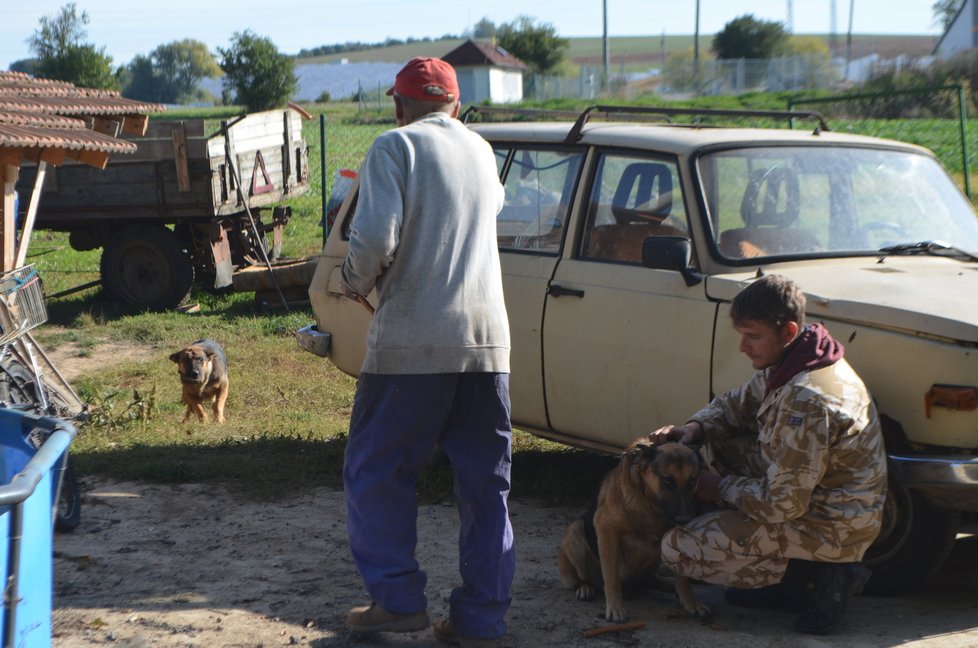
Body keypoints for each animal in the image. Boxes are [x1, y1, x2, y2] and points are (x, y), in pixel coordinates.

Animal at [556, 440, 708, 624]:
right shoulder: (607, 532)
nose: (684, 520)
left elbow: (682, 578)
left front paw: (690, 602)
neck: (650, 504)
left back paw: (667, 584)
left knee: (651, 579)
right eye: (668, 481)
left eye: (692, 481)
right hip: (575, 532)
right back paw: (585, 588)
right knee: (583, 578)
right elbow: (612, 578)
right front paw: (615, 607)